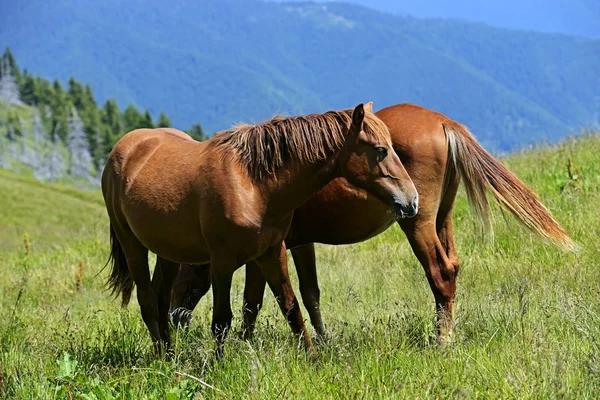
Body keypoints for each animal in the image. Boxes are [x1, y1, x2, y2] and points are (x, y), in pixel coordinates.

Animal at [102, 103, 418, 354]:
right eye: (380, 150)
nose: (411, 200)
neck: (253, 186)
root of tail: (124, 147)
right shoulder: (222, 262)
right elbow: (223, 320)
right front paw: (218, 367)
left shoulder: (271, 253)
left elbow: (290, 307)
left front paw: (314, 358)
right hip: (131, 243)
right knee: (148, 302)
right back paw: (162, 360)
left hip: (169, 251)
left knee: (160, 296)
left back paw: (169, 355)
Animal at [171, 101, 576, 342]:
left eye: (184, 273)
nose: (174, 318)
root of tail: (443, 122)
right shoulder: (301, 244)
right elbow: (310, 293)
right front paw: (324, 341)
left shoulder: (270, 249)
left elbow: (252, 301)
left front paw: (245, 343)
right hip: (442, 218)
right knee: (453, 267)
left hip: (417, 222)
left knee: (441, 272)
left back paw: (442, 341)